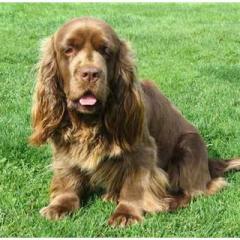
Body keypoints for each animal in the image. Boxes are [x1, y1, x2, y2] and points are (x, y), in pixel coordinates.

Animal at [30, 17, 240, 227]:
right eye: (68, 50)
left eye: (106, 51)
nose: (90, 73)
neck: (89, 122)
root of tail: (209, 163)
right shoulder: (65, 147)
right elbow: (67, 177)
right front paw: (60, 206)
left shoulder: (142, 151)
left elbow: (135, 185)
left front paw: (126, 213)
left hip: (190, 145)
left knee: (198, 191)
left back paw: (169, 202)